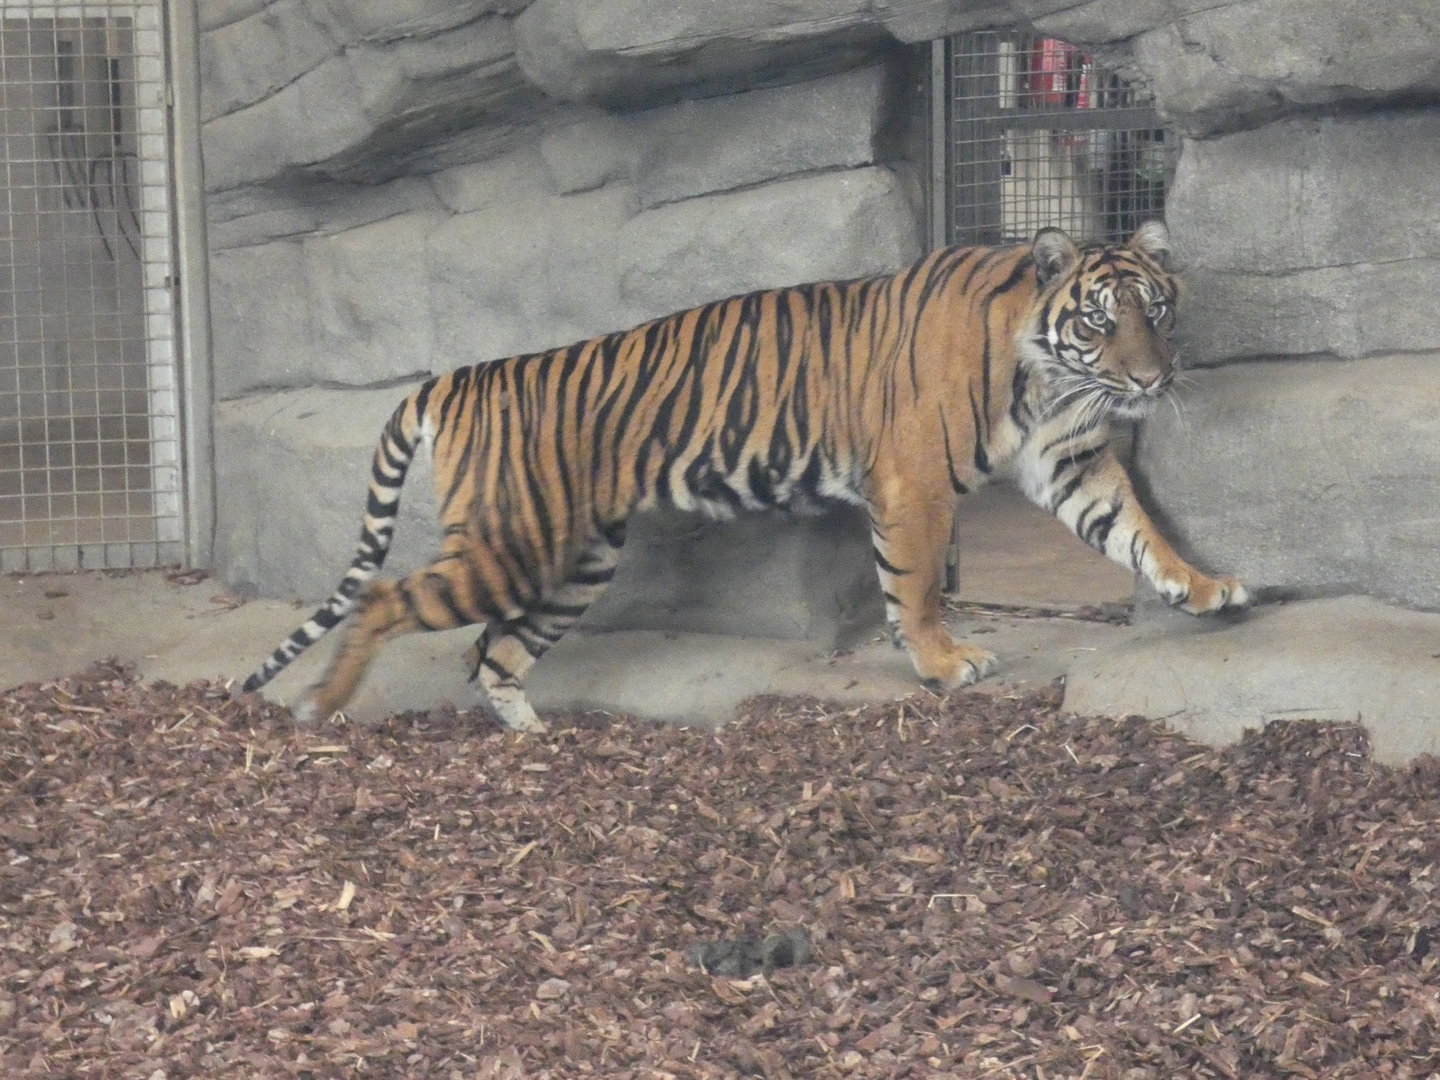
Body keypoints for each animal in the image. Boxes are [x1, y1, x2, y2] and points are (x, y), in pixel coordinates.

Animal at [238, 221, 1248, 731]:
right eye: (1100, 320)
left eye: (1157, 310)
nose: (1151, 380)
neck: (1046, 376)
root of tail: (460, 374)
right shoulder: (914, 482)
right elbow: (916, 584)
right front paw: (943, 661)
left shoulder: (1072, 460)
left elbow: (1136, 531)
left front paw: (1204, 588)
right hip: (511, 543)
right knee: (390, 601)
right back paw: (324, 704)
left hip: (576, 563)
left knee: (495, 651)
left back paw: (533, 738)